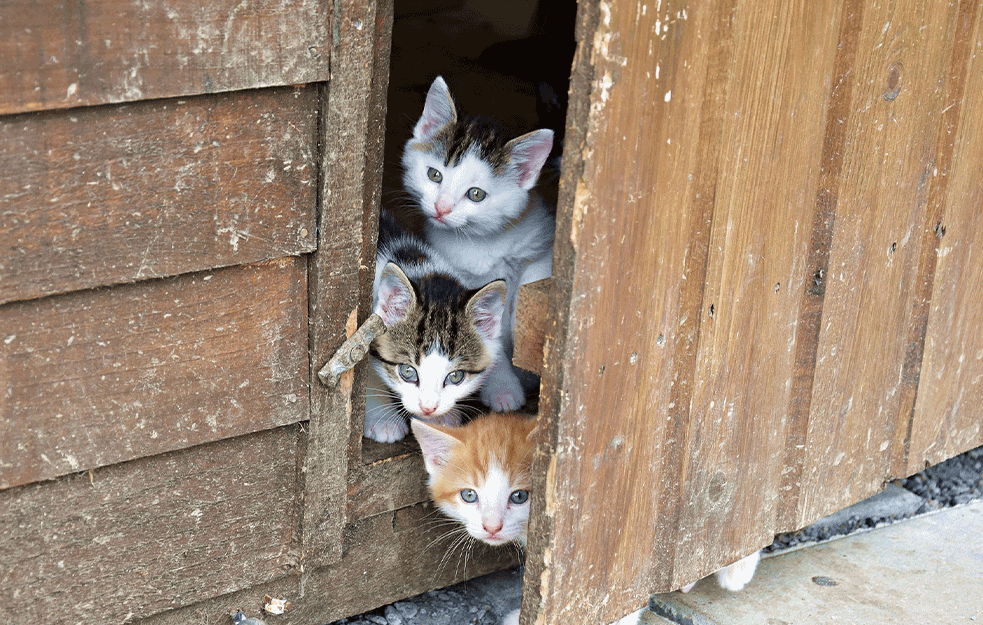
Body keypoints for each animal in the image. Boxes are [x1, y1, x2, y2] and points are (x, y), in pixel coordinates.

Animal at [400, 75, 552, 412]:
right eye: (434, 175)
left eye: (476, 194)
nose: (442, 208)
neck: (481, 242)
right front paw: (504, 389)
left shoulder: (539, 244)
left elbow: (530, 291)